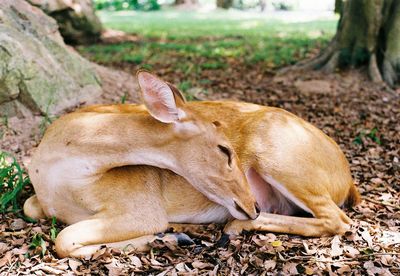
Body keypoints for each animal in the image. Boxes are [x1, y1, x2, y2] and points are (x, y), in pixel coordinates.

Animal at [25, 71, 362, 258]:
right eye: (224, 150)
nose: (252, 204)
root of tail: (347, 180)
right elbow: (38, 215)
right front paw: (174, 235)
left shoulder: (140, 207)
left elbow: (64, 239)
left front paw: (168, 236)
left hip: (282, 157)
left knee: (338, 220)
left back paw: (229, 227)